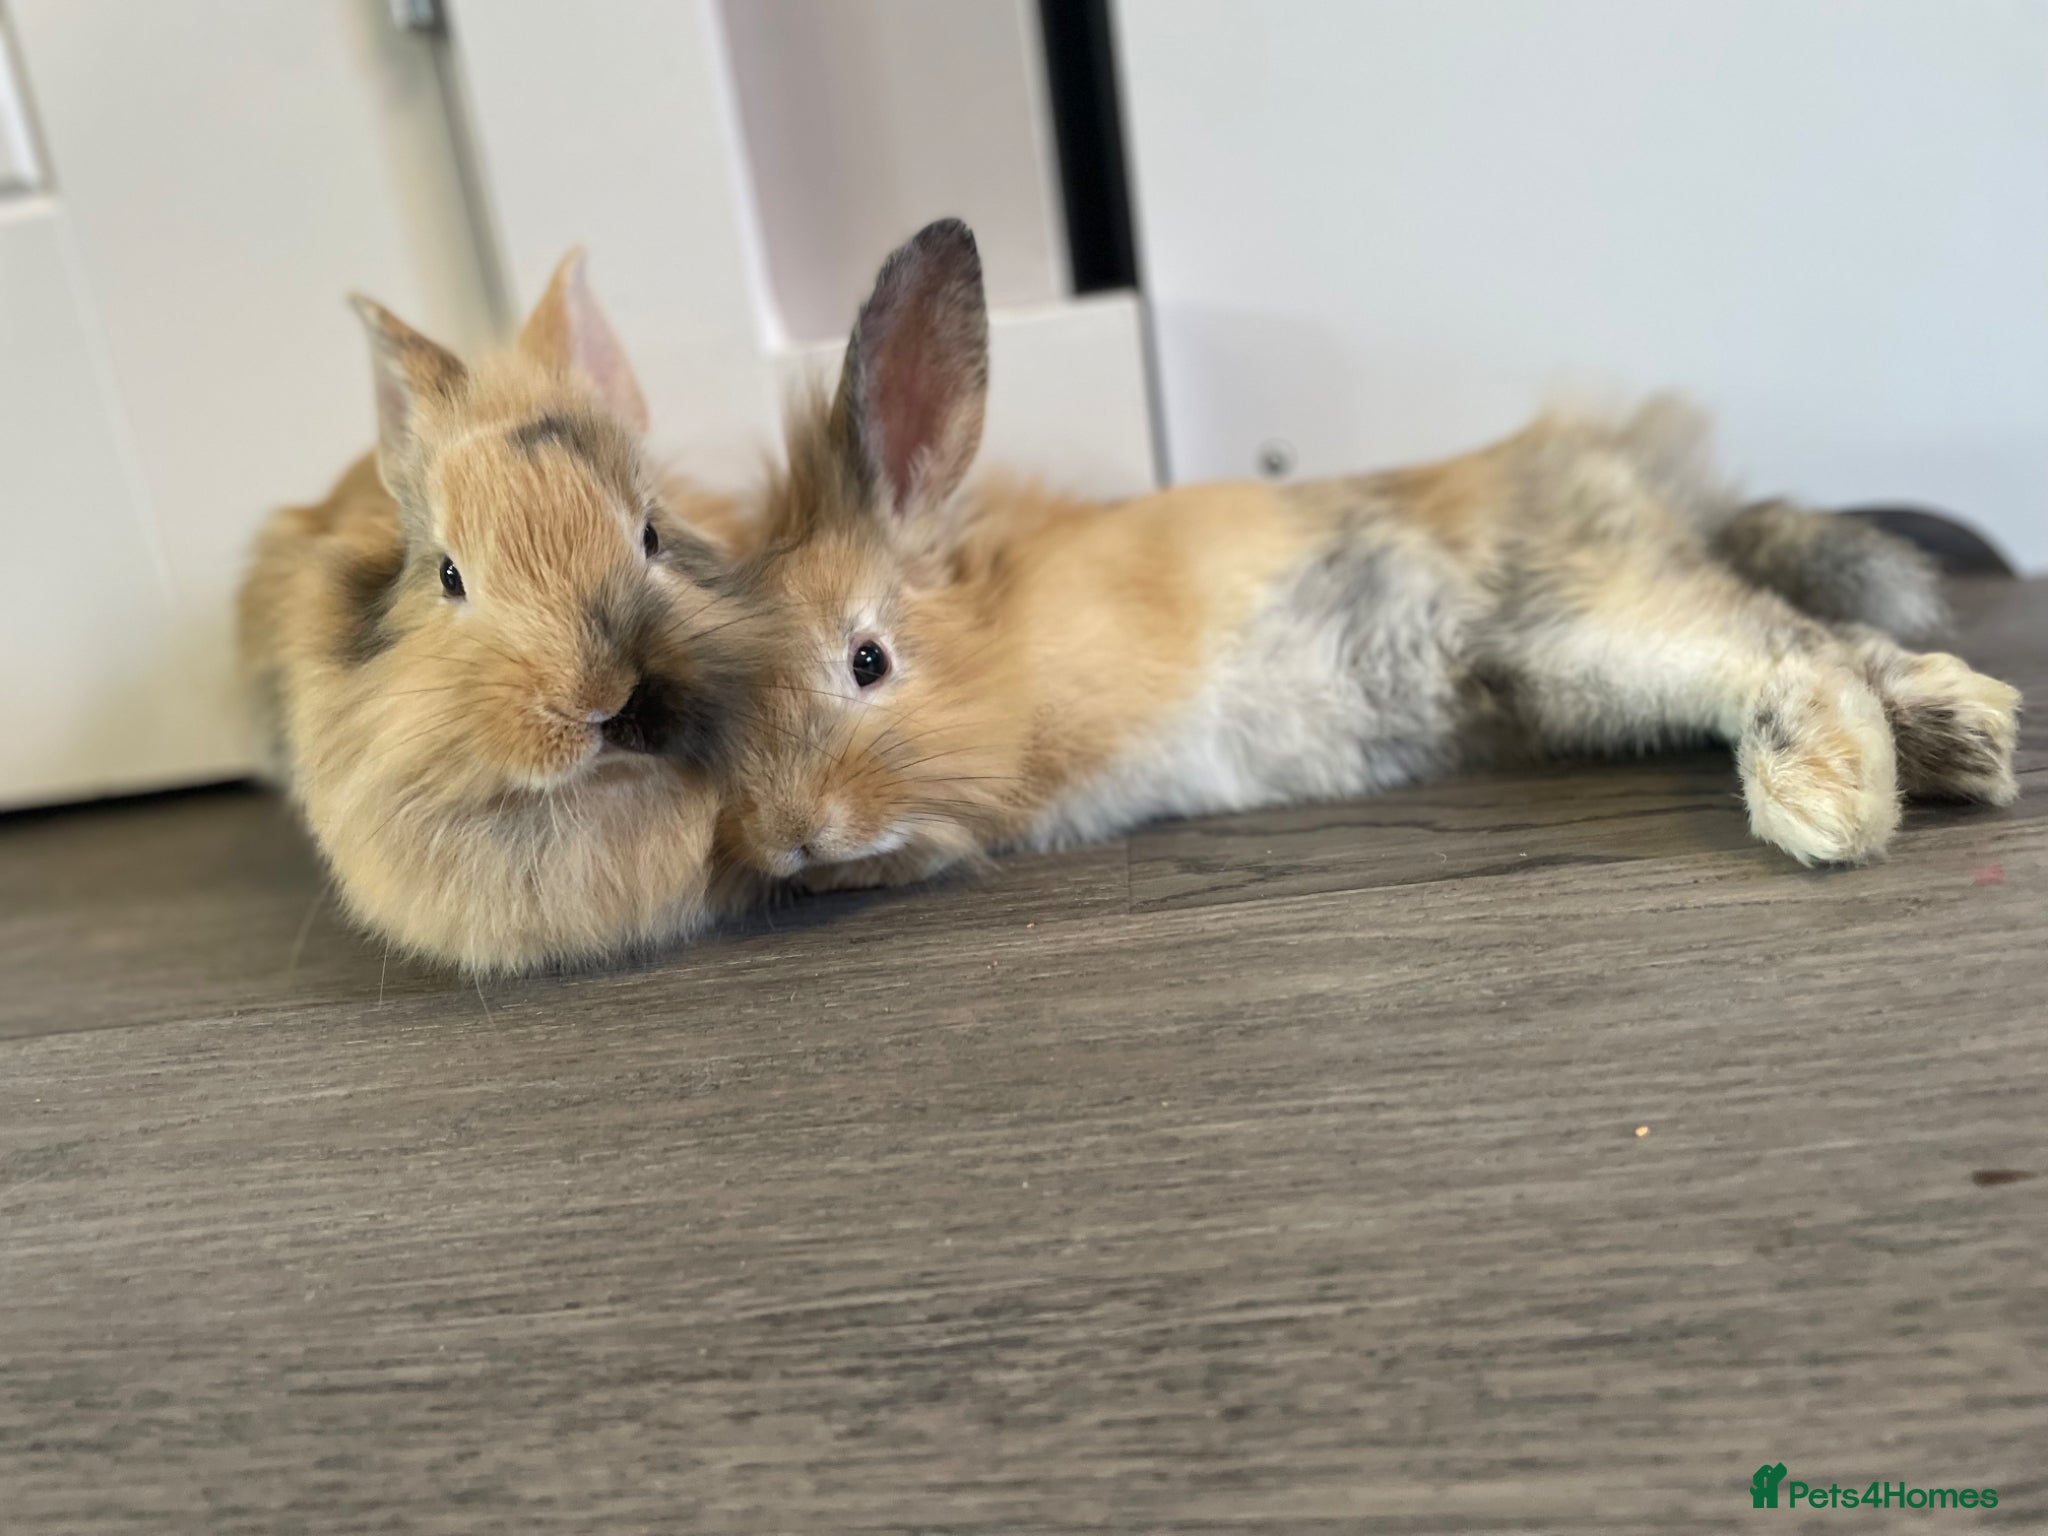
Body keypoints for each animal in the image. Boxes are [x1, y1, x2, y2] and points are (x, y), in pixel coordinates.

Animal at [725, 219, 2021, 892]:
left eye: (868, 662)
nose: (787, 840)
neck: (1003, 639)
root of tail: (1610, 470)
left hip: (1572, 624)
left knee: (1786, 657)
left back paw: (1834, 804)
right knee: (1819, 637)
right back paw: (1964, 742)